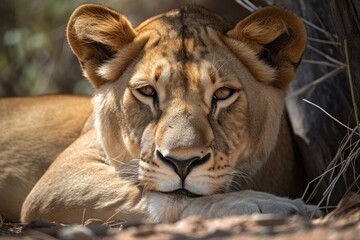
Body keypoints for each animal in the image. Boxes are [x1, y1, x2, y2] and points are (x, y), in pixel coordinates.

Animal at [0, 4, 320, 225]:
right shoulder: (59, 180)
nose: (182, 163)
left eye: (222, 94)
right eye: (147, 91)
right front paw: (268, 205)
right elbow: (159, 197)